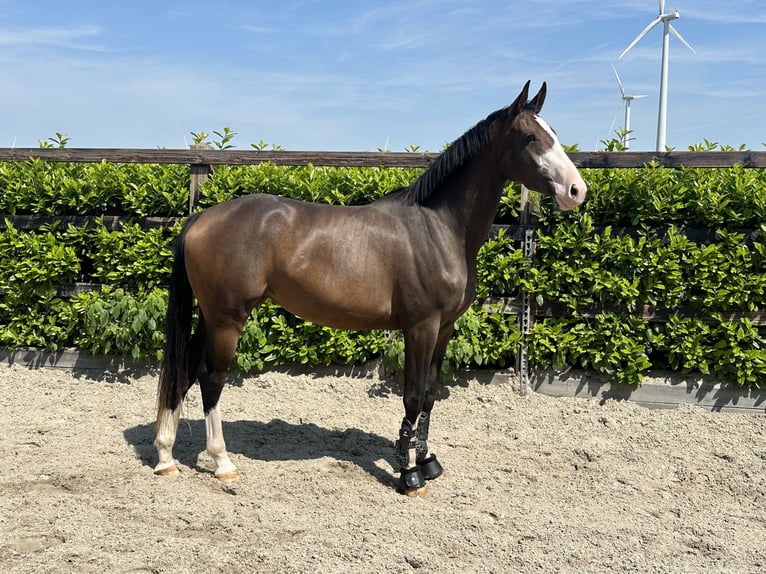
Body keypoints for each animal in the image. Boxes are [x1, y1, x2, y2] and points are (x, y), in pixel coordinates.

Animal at [154, 82, 588, 500]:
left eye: (553, 132)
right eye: (530, 137)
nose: (576, 190)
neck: (438, 227)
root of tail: (200, 219)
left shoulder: (445, 329)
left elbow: (430, 394)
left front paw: (427, 462)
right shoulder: (420, 327)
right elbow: (412, 396)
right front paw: (409, 475)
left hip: (211, 317)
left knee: (185, 370)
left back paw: (165, 457)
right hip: (228, 318)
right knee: (211, 377)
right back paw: (222, 463)